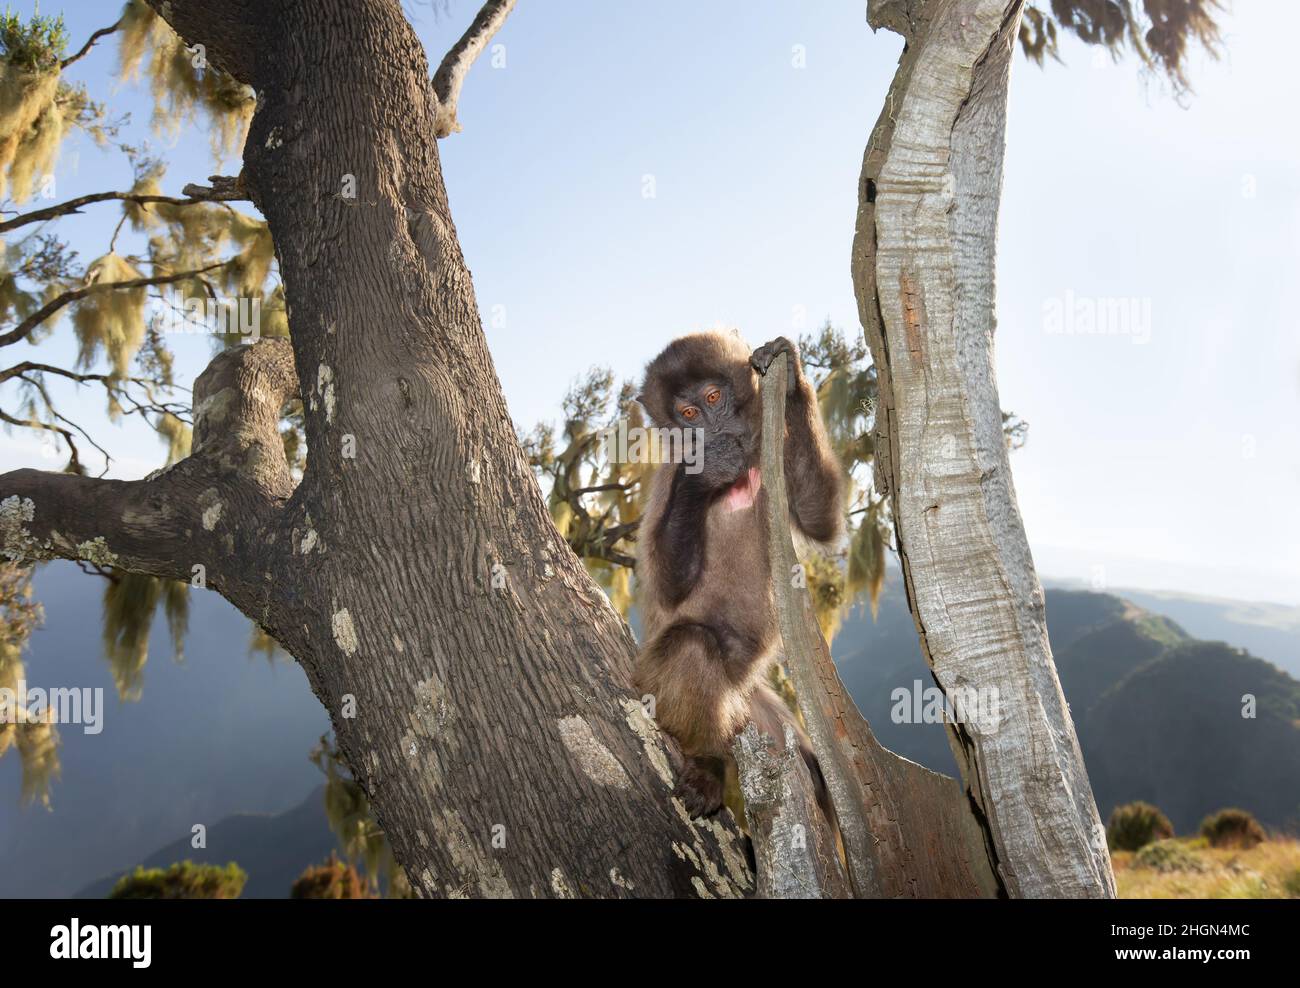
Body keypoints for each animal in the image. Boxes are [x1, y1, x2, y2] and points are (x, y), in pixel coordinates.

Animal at [634, 327, 847, 816]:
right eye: (689, 414)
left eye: (714, 397)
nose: (712, 429)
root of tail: (736, 688)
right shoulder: (668, 475)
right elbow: (667, 591)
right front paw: (704, 473)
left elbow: (819, 521)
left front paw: (791, 383)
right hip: (654, 681)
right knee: (690, 645)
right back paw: (709, 764)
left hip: (751, 707)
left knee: (813, 770)